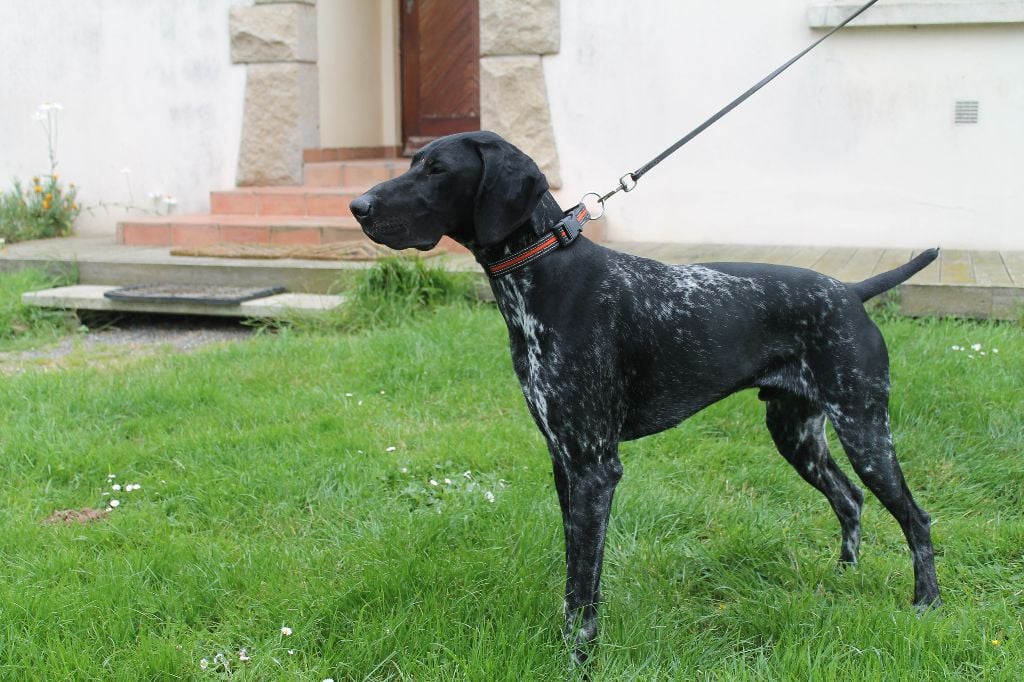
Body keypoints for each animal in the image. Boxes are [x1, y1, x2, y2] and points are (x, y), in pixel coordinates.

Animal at [350, 130, 937, 659]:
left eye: (437, 170)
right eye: (413, 163)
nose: (358, 207)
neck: (543, 273)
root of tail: (851, 291)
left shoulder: (594, 468)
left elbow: (583, 586)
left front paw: (578, 660)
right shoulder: (565, 463)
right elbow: (576, 576)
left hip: (864, 429)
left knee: (915, 517)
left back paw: (926, 603)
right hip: (797, 434)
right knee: (850, 498)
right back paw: (843, 579)